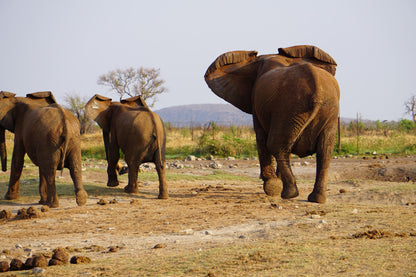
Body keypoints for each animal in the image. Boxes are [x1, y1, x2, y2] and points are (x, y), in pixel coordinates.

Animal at [203, 44, 340, 202]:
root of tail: (317, 91)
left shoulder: (258, 104)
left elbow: (261, 137)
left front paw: (271, 186)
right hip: (322, 110)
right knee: (323, 150)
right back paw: (315, 198)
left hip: (289, 107)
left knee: (276, 145)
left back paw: (287, 193)